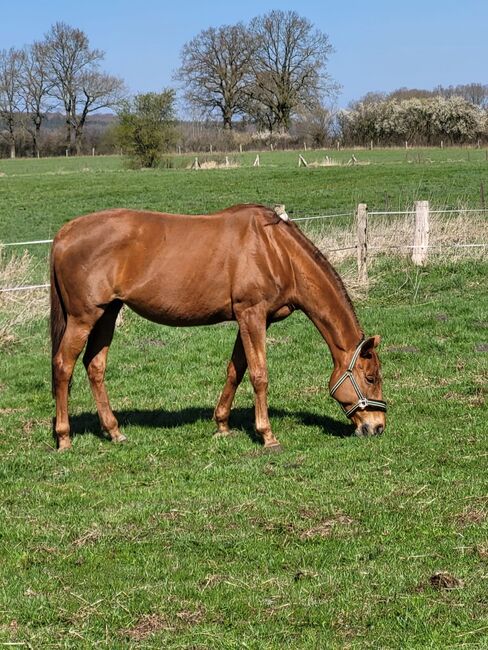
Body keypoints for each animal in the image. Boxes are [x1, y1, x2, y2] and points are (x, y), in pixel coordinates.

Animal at [49, 202, 386, 450]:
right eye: (370, 377)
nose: (378, 427)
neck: (275, 250)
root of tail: (64, 233)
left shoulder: (250, 319)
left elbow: (235, 370)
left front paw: (222, 424)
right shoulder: (252, 315)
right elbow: (259, 375)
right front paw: (267, 435)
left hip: (107, 313)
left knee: (95, 366)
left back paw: (114, 431)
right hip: (83, 317)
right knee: (63, 365)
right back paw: (64, 438)